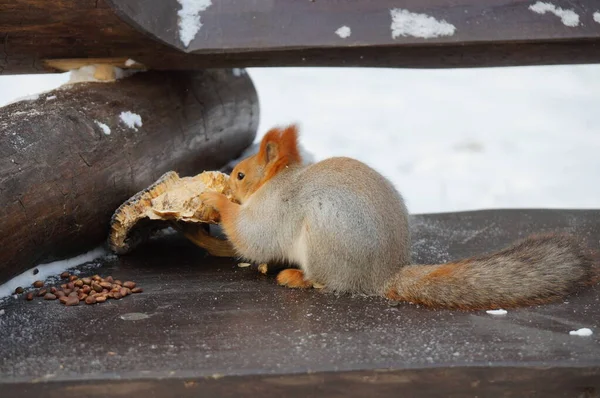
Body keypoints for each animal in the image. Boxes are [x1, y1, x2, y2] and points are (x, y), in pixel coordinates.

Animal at [202, 124, 596, 310]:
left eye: (241, 175)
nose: (228, 183)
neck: (277, 182)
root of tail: (383, 274)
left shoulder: (275, 207)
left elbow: (252, 235)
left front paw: (212, 199)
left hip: (326, 238)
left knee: (329, 282)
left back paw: (296, 277)